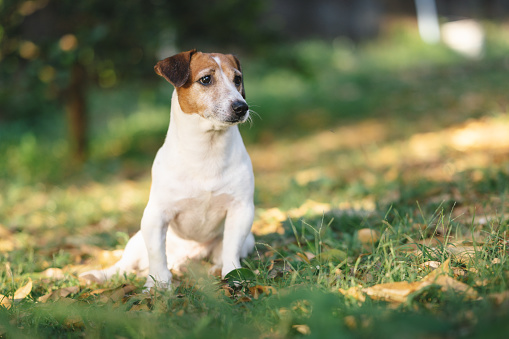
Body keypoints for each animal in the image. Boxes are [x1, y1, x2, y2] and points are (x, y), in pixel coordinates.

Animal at [82, 49, 256, 290]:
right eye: (206, 79)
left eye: (237, 79)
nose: (241, 107)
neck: (207, 151)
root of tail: (186, 258)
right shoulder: (155, 215)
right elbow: (156, 253)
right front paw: (159, 284)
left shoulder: (241, 211)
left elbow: (231, 249)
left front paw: (233, 275)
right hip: (136, 241)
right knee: (124, 266)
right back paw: (100, 275)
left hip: (248, 239)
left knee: (220, 255)